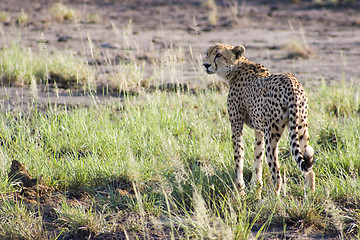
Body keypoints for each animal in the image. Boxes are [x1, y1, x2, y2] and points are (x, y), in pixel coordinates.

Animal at [202, 43, 316, 197]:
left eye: (218, 55)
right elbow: (257, 157)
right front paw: (256, 188)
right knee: (309, 170)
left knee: (277, 175)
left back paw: (272, 200)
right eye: (207, 53)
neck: (235, 68)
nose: (206, 65)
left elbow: (239, 156)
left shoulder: (237, 126)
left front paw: (240, 190)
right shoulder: (259, 130)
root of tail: (292, 83)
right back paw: (310, 196)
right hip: (301, 128)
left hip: (272, 135)